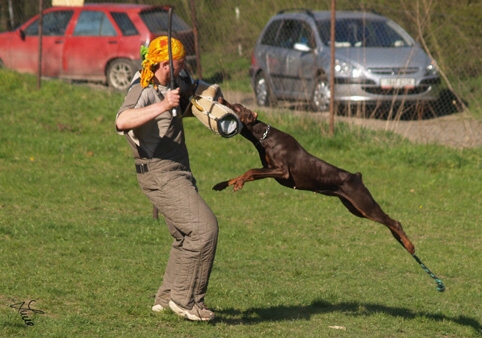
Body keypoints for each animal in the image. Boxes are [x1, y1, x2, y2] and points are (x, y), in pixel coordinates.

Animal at [214, 97, 414, 254]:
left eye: (237, 107)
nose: (221, 99)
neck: (264, 136)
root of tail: (357, 176)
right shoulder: (269, 169)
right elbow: (248, 173)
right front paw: (225, 184)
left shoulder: (282, 171)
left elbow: (250, 171)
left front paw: (238, 183)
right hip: (354, 208)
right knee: (389, 223)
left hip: (364, 204)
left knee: (394, 222)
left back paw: (409, 245)